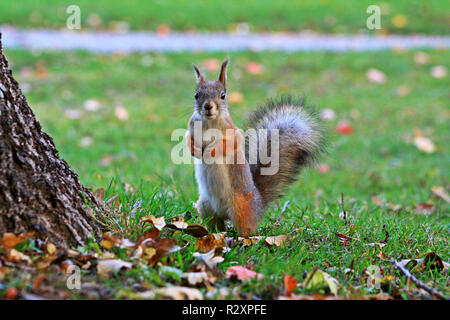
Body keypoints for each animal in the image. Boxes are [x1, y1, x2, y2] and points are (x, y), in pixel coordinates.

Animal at [185, 58, 326, 236]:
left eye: (223, 95)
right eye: (196, 95)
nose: (208, 106)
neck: (210, 122)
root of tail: (258, 205)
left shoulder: (233, 133)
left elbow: (228, 144)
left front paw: (211, 151)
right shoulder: (191, 127)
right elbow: (188, 138)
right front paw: (194, 150)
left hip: (240, 209)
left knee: (247, 229)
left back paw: (245, 238)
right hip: (205, 207)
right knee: (217, 225)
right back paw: (212, 234)